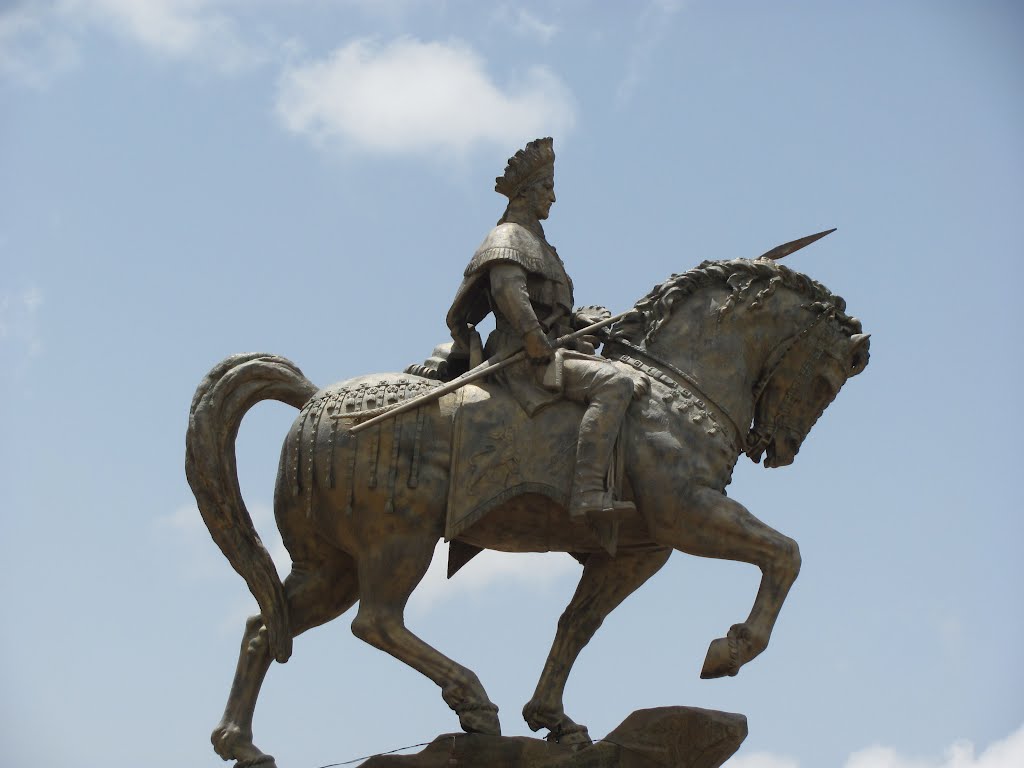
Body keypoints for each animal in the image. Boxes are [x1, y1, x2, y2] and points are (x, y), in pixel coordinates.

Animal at [184, 257, 864, 765]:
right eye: (828, 374)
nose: (780, 448)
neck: (672, 385)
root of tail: (314, 402)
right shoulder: (688, 514)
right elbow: (784, 553)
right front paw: (730, 650)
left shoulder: (635, 552)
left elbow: (576, 625)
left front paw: (554, 720)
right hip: (398, 542)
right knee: (374, 622)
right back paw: (474, 702)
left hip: (331, 565)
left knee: (265, 624)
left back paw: (242, 746)